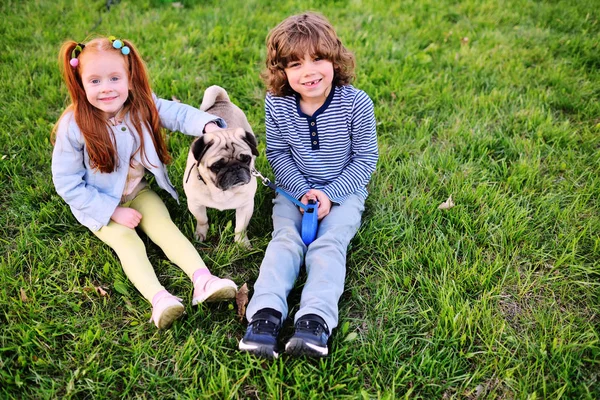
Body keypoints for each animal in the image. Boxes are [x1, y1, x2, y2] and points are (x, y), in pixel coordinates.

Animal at [183, 86, 258, 248]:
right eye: (217, 166)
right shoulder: (195, 204)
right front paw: (201, 234)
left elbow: (240, 227)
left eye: (246, 159)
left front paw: (242, 244)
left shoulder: (246, 206)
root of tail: (222, 101)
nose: (235, 168)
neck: (221, 192)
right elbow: (202, 220)